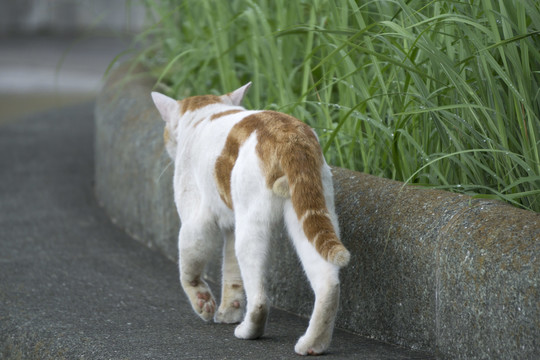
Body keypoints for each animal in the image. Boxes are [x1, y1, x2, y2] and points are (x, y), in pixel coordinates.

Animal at [151, 82, 350, 354]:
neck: (206, 112)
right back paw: (312, 344)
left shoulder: (196, 222)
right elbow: (231, 272)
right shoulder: (231, 227)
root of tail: (290, 135)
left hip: (252, 226)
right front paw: (229, 311)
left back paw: (249, 330)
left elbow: (190, 269)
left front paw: (204, 303)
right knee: (328, 282)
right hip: (312, 215)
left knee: (259, 297)